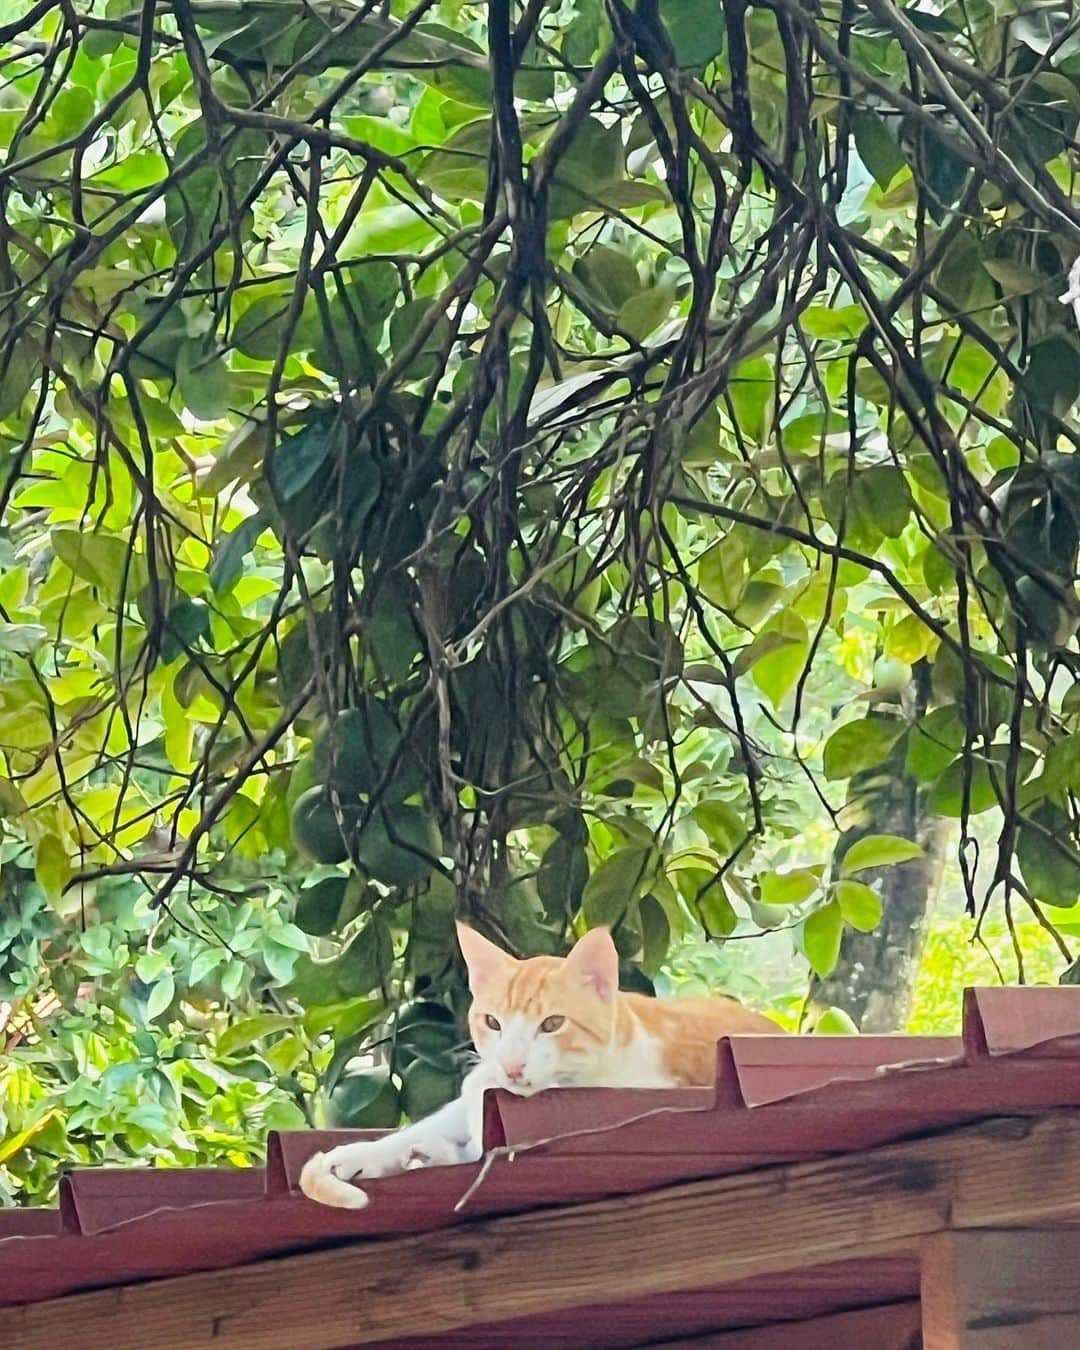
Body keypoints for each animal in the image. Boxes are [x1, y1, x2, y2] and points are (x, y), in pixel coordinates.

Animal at [299, 923, 783, 1209]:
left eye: (552, 1024)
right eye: (492, 1022)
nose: (512, 1065)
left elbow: (475, 1150)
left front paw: (431, 1154)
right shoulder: (477, 1088)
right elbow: (430, 1125)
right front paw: (362, 1155)